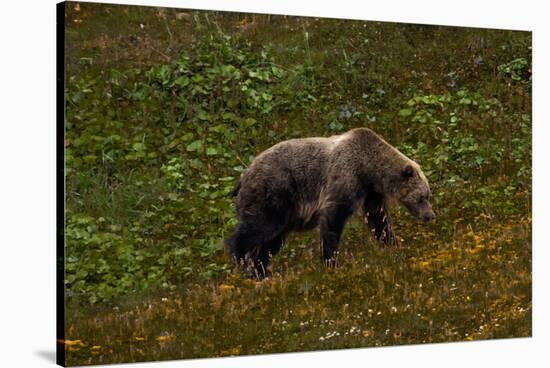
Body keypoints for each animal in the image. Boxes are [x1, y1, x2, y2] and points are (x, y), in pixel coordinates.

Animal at [224, 128, 436, 278]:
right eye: (422, 197)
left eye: (427, 195)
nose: (430, 215)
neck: (369, 169)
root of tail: (244, 175)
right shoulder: (345, 178)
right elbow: (334, 219)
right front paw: (330, 262)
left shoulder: (370, 192)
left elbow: (378, 220)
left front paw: (393, 244)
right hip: (273, 193)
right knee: (260, 227)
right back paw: (241, 259)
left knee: (272, 240)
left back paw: (263, 271)